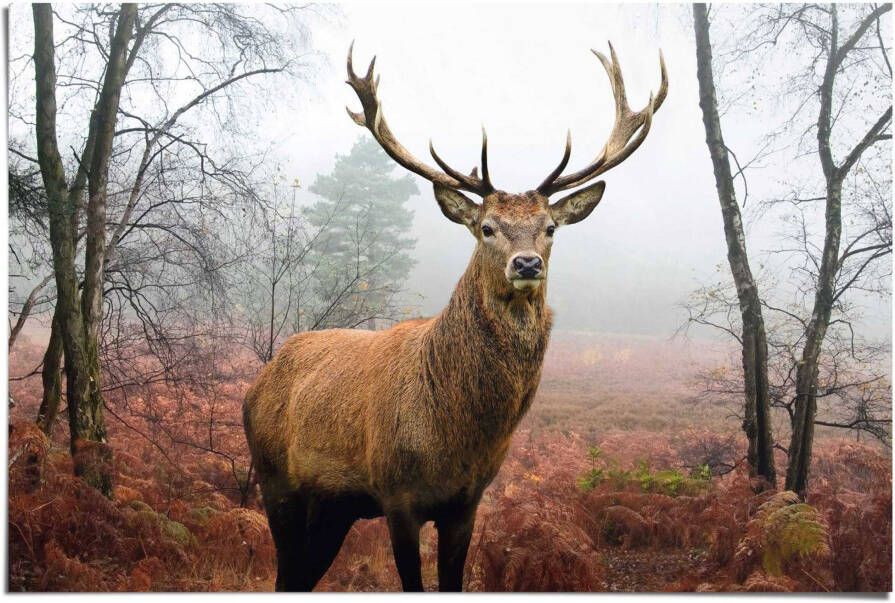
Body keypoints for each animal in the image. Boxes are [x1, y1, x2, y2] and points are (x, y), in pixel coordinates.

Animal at [242, 43, 668, 596]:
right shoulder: (397, 495)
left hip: (333, 508)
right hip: (275, 481)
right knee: (284, 571)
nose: (526, 263)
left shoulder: (466, 502)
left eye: (550, 227)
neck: (455, 434)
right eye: (486, 227)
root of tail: (257, 384)